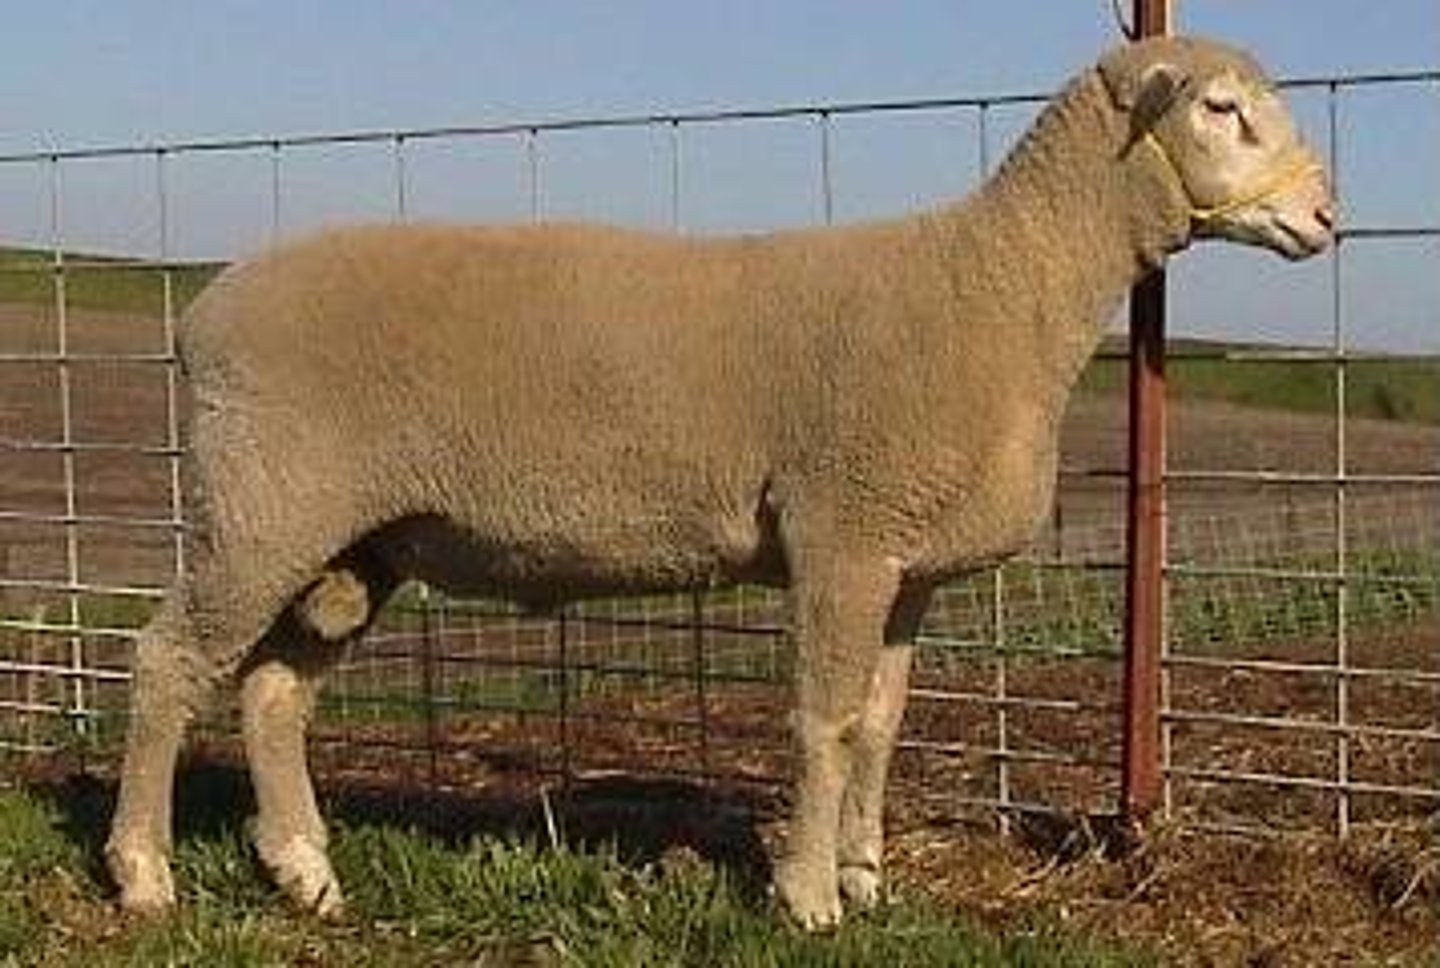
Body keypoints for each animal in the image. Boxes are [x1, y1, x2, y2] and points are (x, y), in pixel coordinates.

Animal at [105, 35, 1334, 930]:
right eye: (1222, 109)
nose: (1328, 215)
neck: (998, 286)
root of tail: (203, 315)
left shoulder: (908, 564)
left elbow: (881, 723)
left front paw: (868, 877)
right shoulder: (841, 529)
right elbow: (823, 720)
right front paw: (807, 897)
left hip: (355, 540)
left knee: (272, 690)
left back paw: (306, 872)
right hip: (262, 502)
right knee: (170, 661)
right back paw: (144, 874)